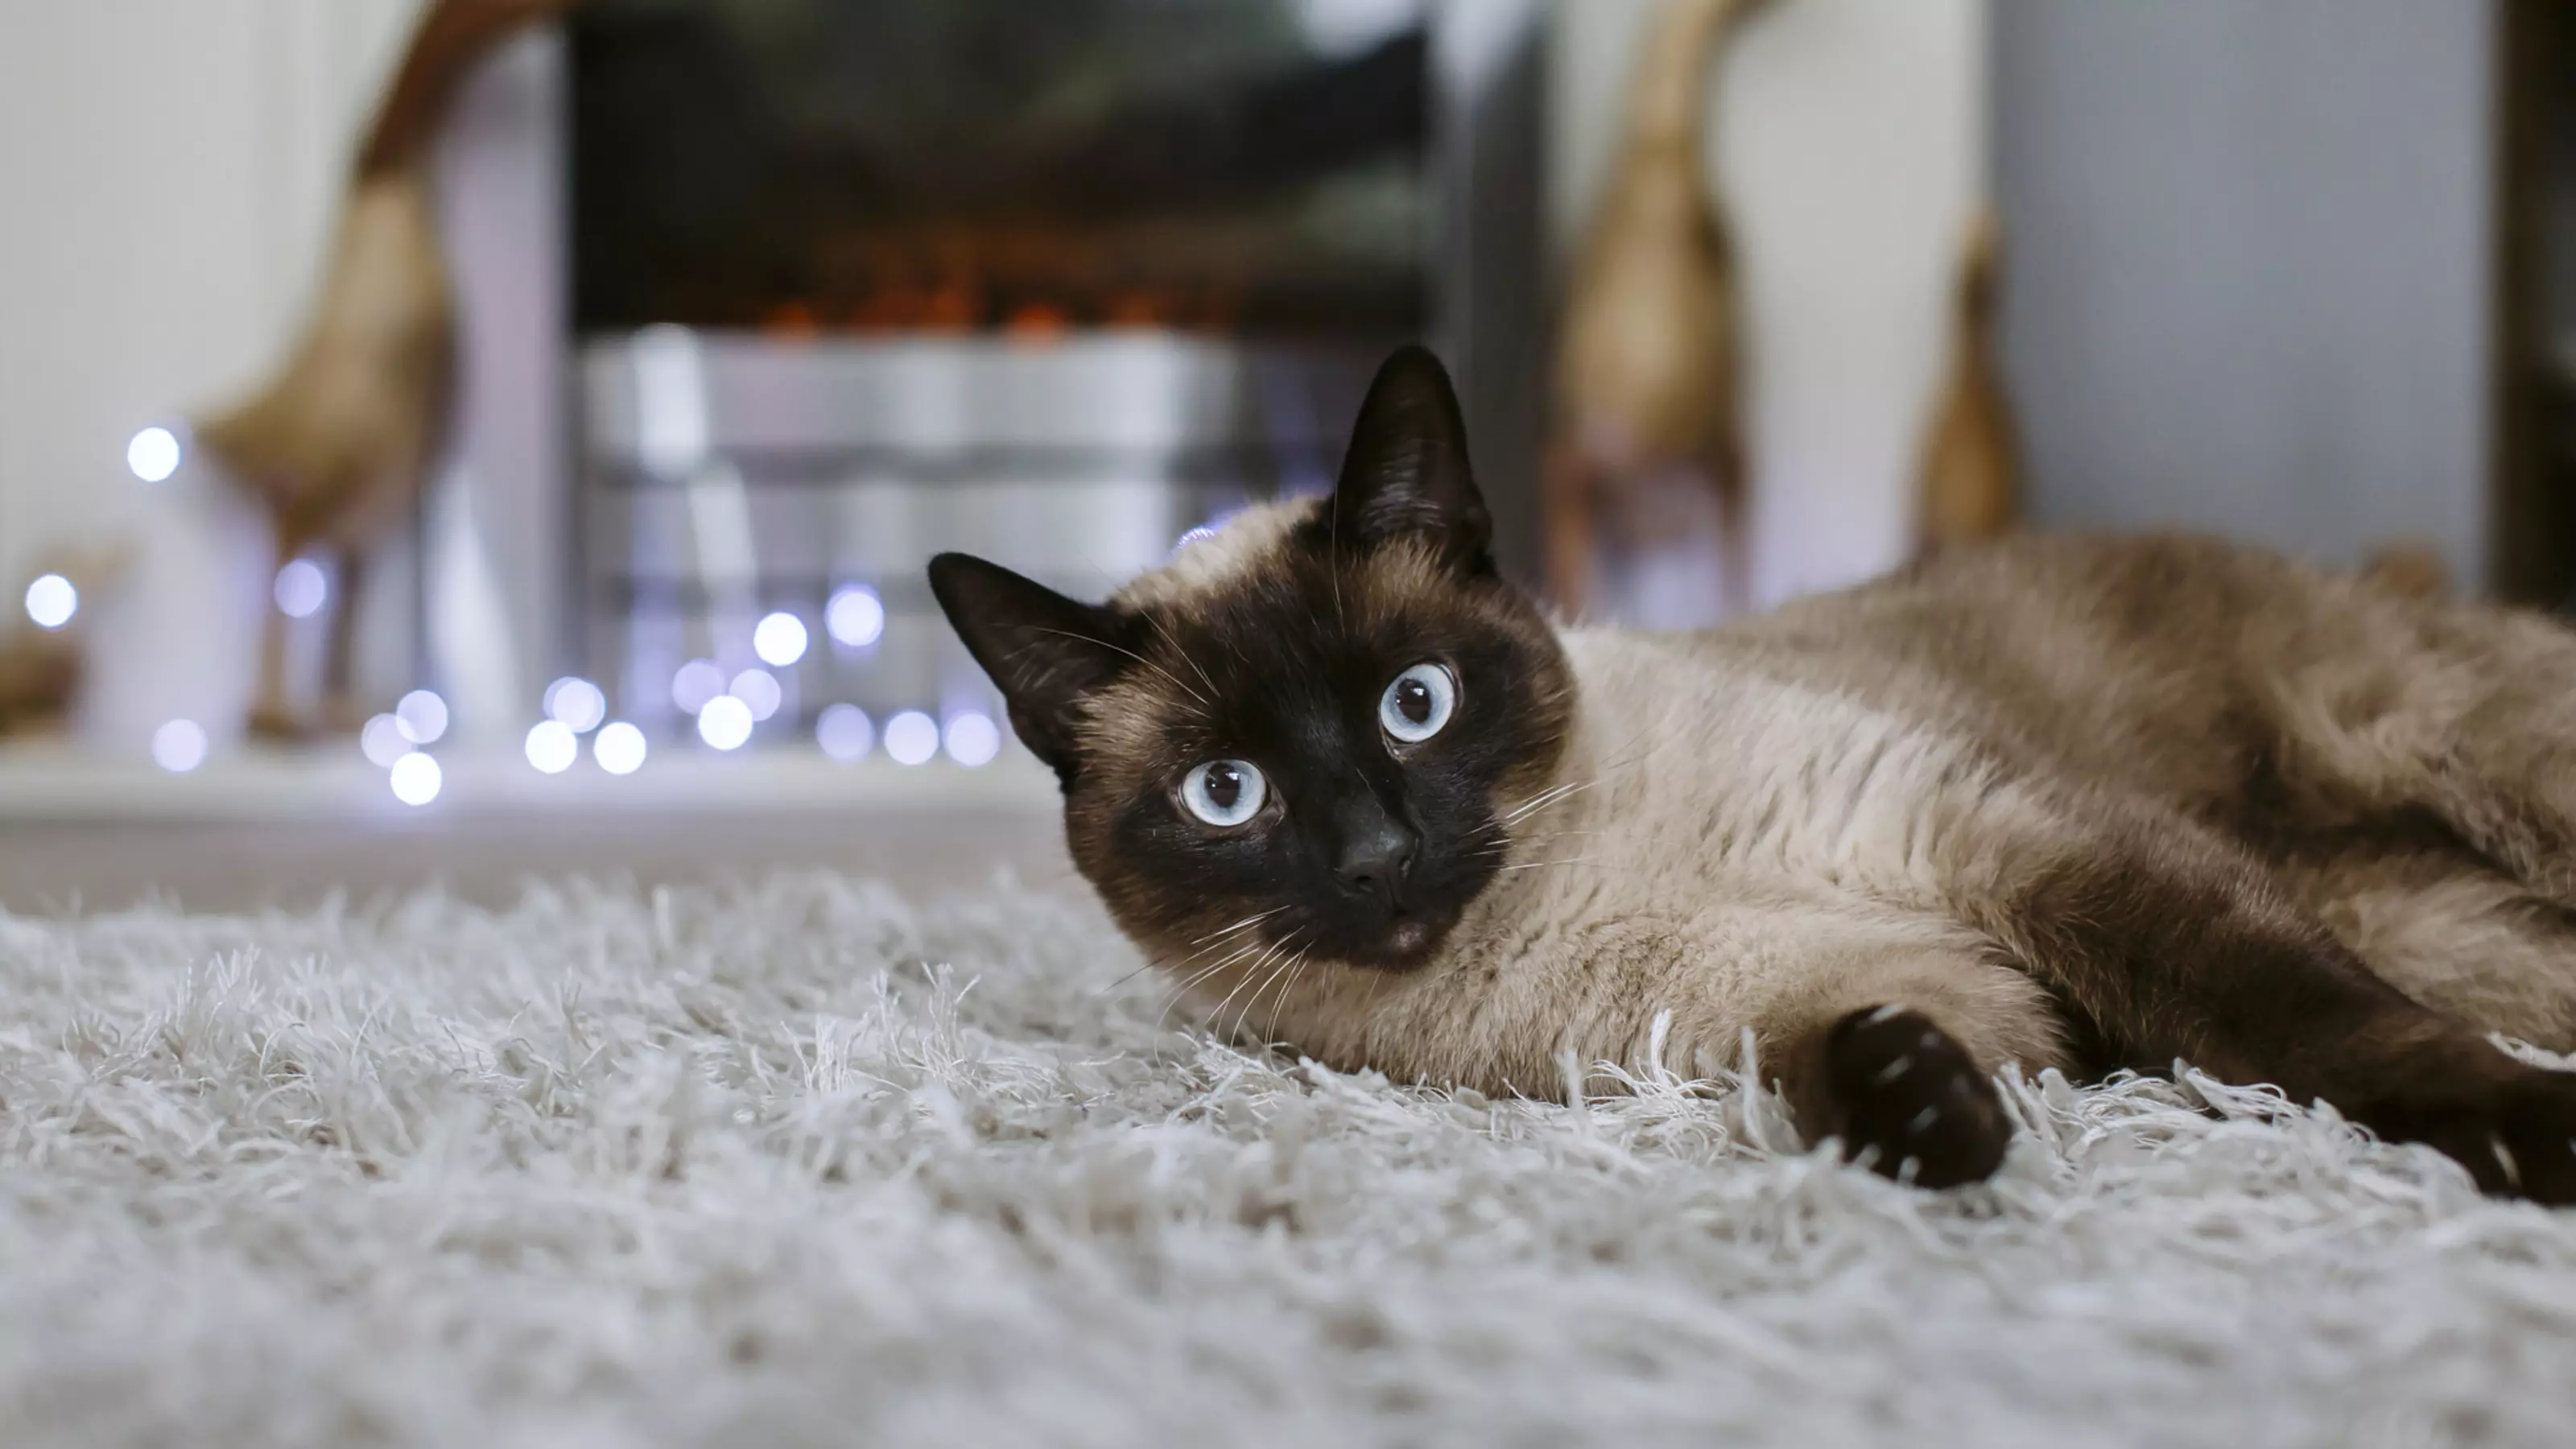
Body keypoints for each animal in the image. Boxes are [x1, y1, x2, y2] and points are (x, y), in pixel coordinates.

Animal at [927, 340, 2576, 1196]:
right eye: (1230, 796)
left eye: (1415, 704)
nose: (1379, 863)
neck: (1570, 891)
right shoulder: (1883, 1000)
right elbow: (1876, 1060)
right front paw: (1939, 1133)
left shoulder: (2024, 850)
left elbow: (2307, 1023)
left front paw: (2522, 1138)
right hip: (2449, 925)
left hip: (2474, 794)